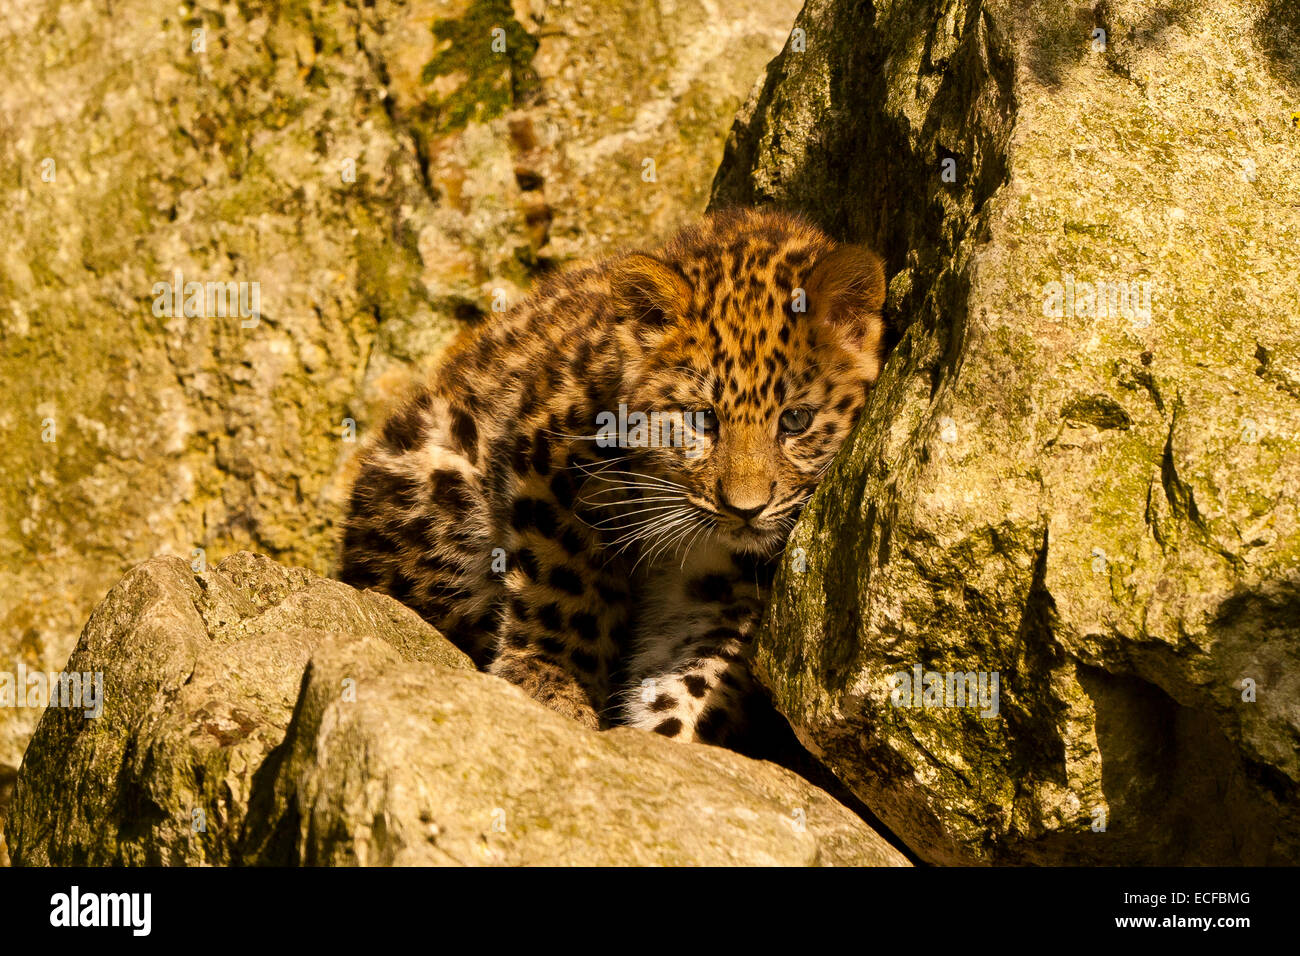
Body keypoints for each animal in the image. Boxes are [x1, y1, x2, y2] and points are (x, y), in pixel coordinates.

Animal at [338, 207, 887, 750]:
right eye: (703, 420)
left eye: (795, 421)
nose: (745, 509)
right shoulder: (549, 466)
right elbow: (563, 590)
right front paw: (554, 687)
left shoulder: (729, 587)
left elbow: (695, 675)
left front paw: (669, 736)